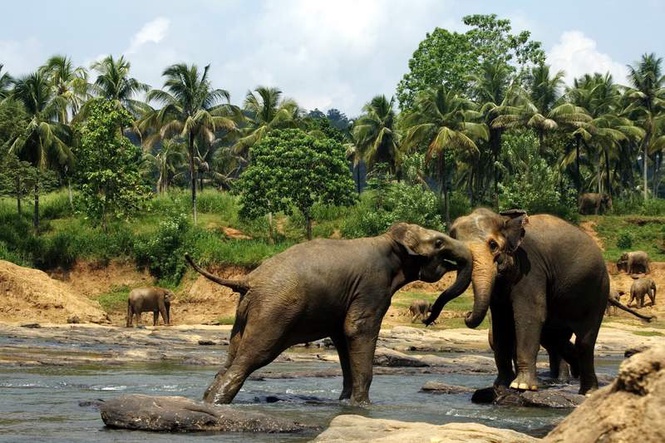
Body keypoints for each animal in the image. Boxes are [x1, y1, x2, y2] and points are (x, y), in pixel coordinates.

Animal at [184, 223, 471, 405]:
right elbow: (357, 329)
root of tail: (247, 280)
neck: (390, 240)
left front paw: (345, 402)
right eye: (439, 243)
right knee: (251, 358)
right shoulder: (372, 286)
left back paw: (207, 400)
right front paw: (363, 406)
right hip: (273, 312)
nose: (429, 318)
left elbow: (342, 337)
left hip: (246, 312)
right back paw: (217, 404)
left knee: (231, 357)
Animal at [424, 208, 610, 394]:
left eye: (493, 245)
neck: (505, 219)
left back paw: (589, 392)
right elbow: (501, 321)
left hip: (598, 290)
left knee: (584, 341)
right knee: (555, 339)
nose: (427, 317)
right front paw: (501, 385)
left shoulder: (531, 269)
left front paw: (521, 386)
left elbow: (529, 315)